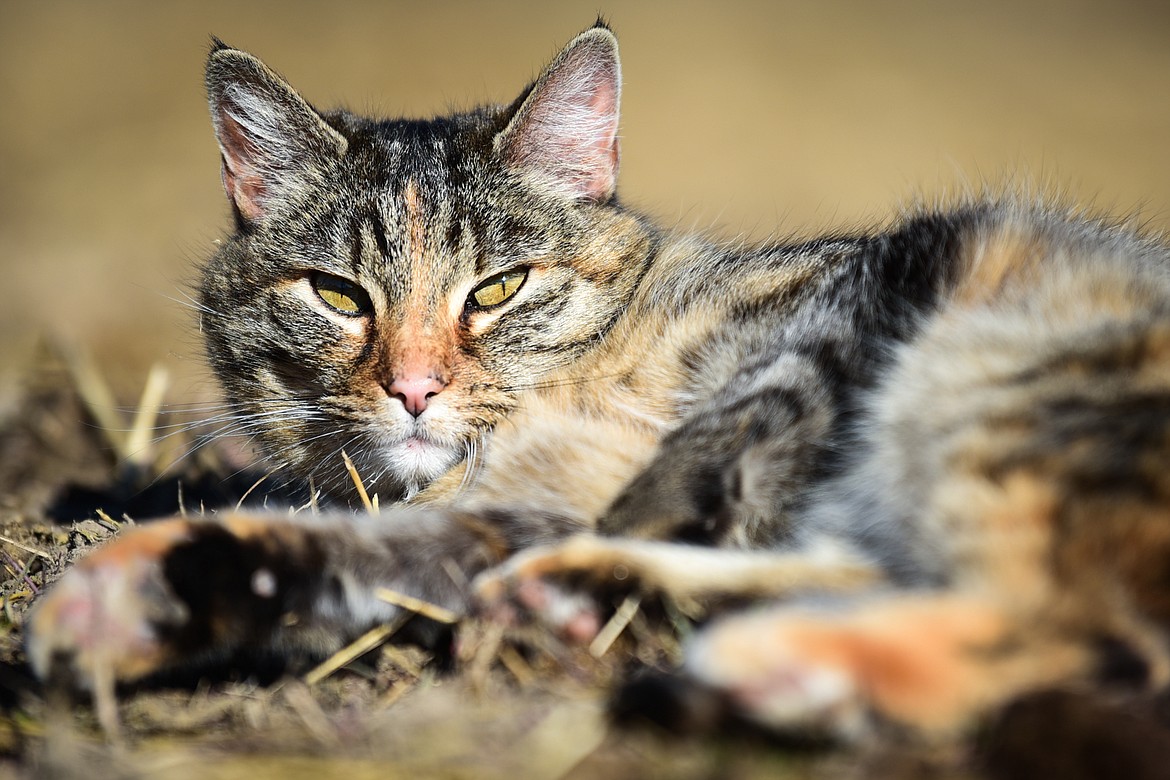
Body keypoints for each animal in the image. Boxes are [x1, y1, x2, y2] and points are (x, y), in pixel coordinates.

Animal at [25, 21, 1170, 743]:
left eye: (499, 288)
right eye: (338, 295)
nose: (414, 389)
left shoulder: (836, 311)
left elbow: (720, 434)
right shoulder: (505, 502)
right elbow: (378, 549)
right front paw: (141, 591)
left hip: (993, 388)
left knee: (1079, 634)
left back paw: (745, 650)